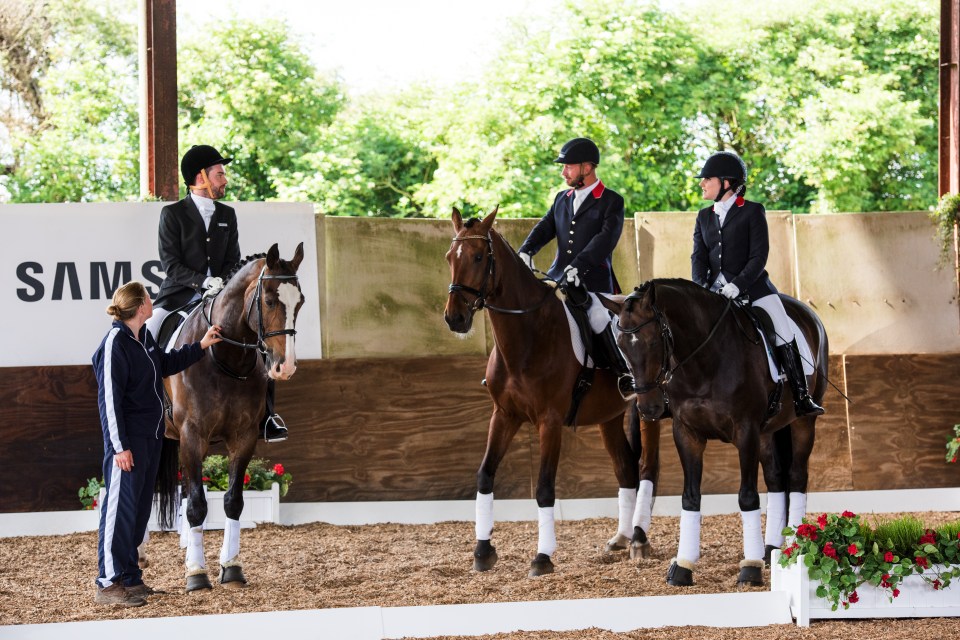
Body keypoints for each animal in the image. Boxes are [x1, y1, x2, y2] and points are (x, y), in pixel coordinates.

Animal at [157, 242, 304, 592]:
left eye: (300, 302)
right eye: (268, 300)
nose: (285, 367)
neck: (224, 357)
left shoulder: (244, 436)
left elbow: (233, 500)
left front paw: (232, 568)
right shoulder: (192, 435)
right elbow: (198, 504)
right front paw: (197, 574)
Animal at [446, 208, 664, 576]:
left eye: (478, 257)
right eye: (450, 257)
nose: (455, 318)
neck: (529, 335)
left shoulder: (549, 422)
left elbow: (545, 488)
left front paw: (542, 557)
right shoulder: (504, 415)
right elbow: (485, 476)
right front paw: (483, 550)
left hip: (650, 410)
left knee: (648, 469)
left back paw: (638, 539)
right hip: (609, 416)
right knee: (625, 469)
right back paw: (620, 538)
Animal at [600, 278, 824, 588]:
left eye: (654, 340)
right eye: (621, 346)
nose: (649, 407)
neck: (704, 363)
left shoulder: (745, 431)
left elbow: (747, 497)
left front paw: (750, 569)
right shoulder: (688, 433)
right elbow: (690, 497)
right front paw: (682, 567)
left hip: (803, 422)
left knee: (797, 476)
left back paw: (793, 547)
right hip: (767, 432)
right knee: (776, 478)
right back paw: (770, 549)